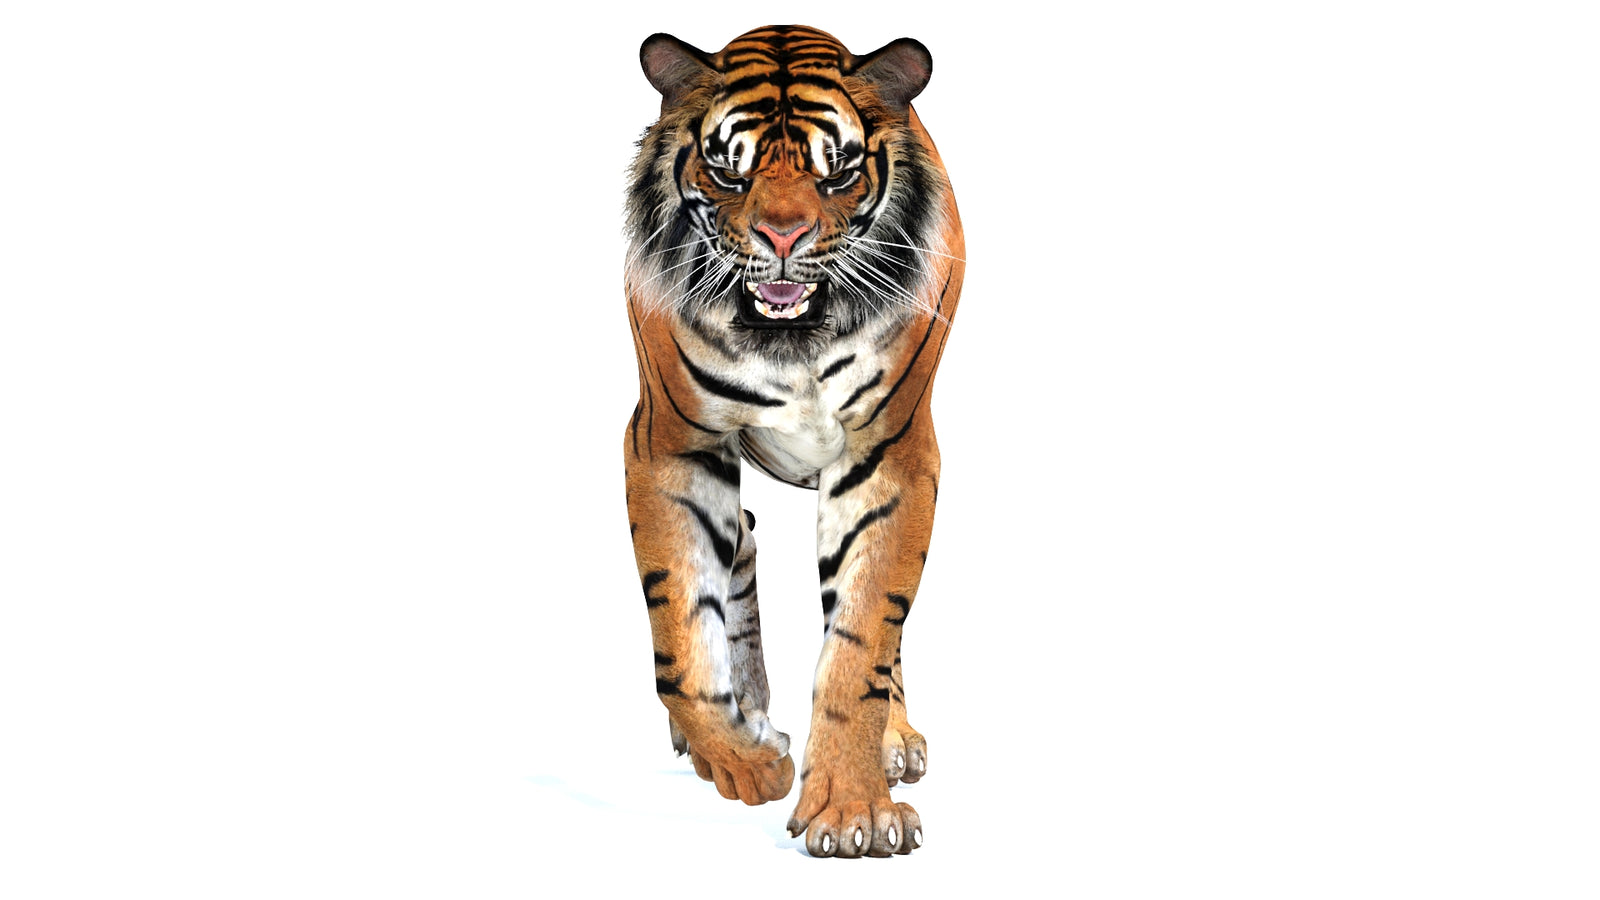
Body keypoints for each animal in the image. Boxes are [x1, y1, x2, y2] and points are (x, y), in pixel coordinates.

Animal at [622, 24, 964, 858]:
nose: (783, 235)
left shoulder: (890, 456)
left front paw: (852, 810)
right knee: (738, 545)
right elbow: (679, 635)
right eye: (727, 172)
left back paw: (894, 740)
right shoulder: (669, 445)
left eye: (835, 173)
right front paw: (746, 762)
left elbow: (863, 641)